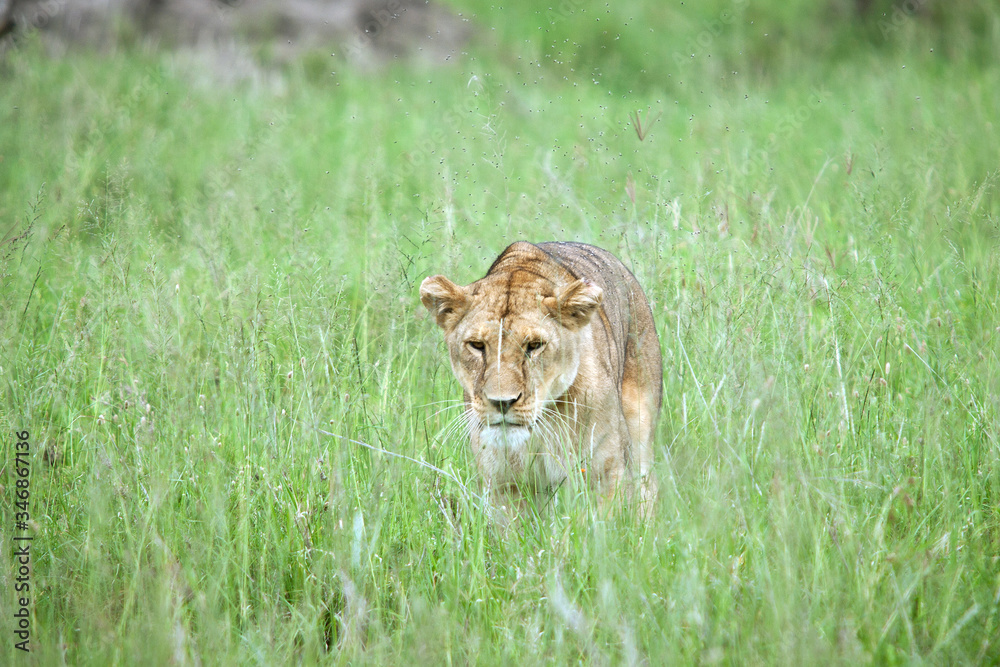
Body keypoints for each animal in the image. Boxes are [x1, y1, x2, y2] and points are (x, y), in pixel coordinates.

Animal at [419, 241, 663, 522]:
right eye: (477, 345)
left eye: (534, 346)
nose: (502, 403)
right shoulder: (505, 483)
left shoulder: (604, 472)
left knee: (646, 485)